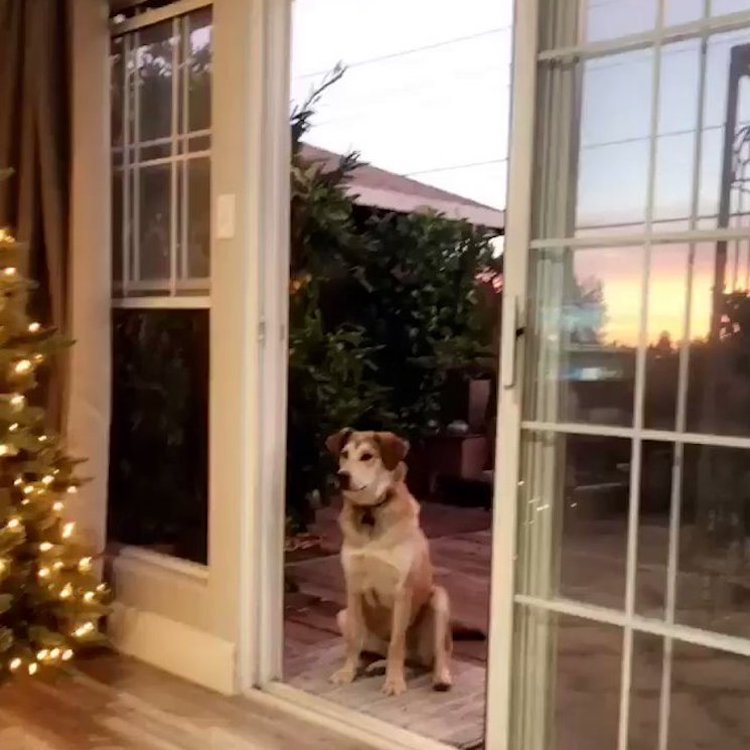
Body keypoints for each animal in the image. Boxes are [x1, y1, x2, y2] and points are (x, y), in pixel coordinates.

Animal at [326, 428, 468, 700]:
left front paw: (394, 683)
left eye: (367, 456)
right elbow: (353, 641)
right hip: (343, 615)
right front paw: (347, 673)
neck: (371, 512)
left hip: (439, 599)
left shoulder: (401, 592)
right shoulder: (353, 589)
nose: (342, 476)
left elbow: (396, 643)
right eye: (344, 454)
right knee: (374, 650)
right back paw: (374, 665)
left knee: (436, 656)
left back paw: (439, 677)